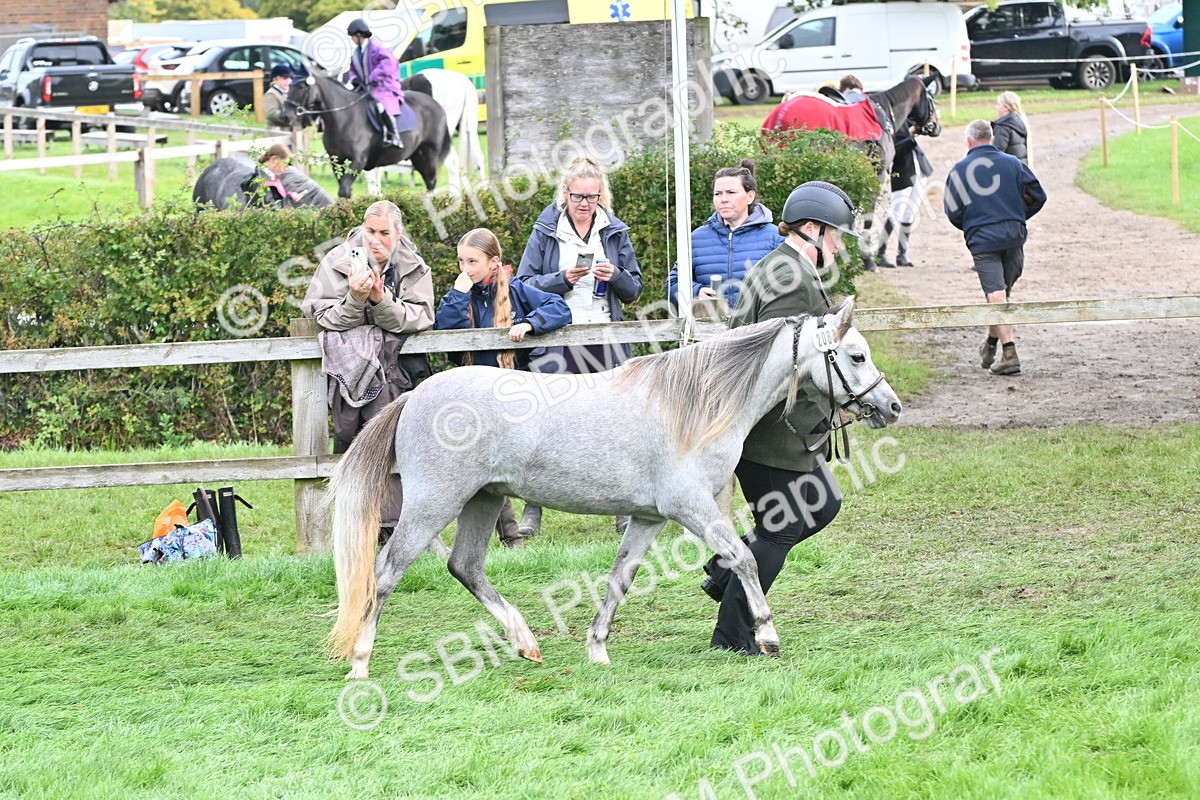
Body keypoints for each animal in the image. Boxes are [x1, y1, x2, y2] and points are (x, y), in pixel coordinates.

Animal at [279, 72, 452, 199]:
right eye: (289, 86)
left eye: (301, 87)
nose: (285, 116)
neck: (343, 118)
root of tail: (436, 105)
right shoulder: (337, 162)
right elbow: (345, 191)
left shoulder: (357, 161)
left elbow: (344, 190)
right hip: (417, 156)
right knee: (428, 180)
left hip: (429, 153)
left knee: (431, 180)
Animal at [326, 298, 903, 679]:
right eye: (855, 356)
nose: (891, 406)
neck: (696, 405)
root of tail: (415, 397)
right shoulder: (691, 507)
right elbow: (743, 558)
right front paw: (766, 634)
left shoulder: (649, 517)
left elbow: (620, 579)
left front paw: (597, 649)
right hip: (433, 505)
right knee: (385, 573)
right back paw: (360, 663)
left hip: (483, 501)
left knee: (465, 567)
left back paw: (526, 643)